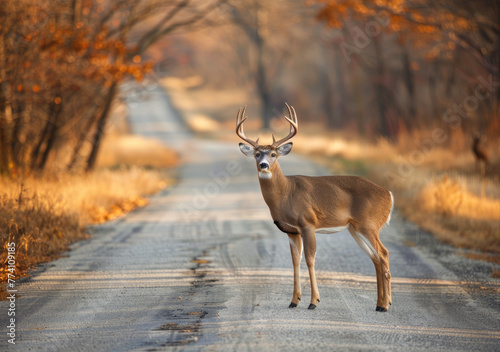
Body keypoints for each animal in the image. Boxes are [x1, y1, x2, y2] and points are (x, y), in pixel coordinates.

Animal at [235, 104, 394, 310]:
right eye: (256, 154)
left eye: (273, 154)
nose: (263, 165)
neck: (286, 194)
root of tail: (389, 195)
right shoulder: (291, 231)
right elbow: (295, 262)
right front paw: (294, 301)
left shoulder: (308, 223)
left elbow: (310, 260)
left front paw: (313, 301)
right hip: (356, 228)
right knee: (375, 258)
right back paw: (379, 303)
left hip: (369, 224)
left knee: (384, 253)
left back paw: (386, 304)